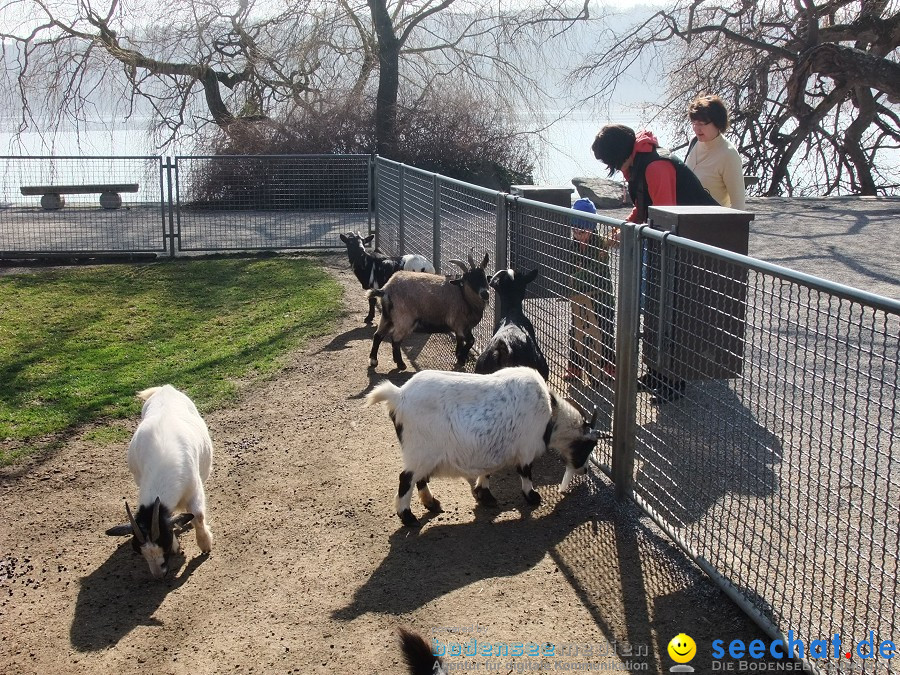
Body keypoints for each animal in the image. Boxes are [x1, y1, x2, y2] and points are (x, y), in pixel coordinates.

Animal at [106, 388, 214, 580]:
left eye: (165, 543)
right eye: (138, 551)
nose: (158, 574)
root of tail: (166, 388)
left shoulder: (195, 489)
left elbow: (199, 515)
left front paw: (205, 544)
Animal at [366, 368, 596, 524]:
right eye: (589, 446)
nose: (584, 470)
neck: (550, 415)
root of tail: (399, 396)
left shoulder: (490, 449)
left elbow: (487, 471)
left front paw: (484, 494)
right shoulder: (526, 450)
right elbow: (526, 474)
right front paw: (532, 497)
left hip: (423, 455)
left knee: (419, 479)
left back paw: (431, 504)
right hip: (420, 451)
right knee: (406, 479)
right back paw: (408, 517)